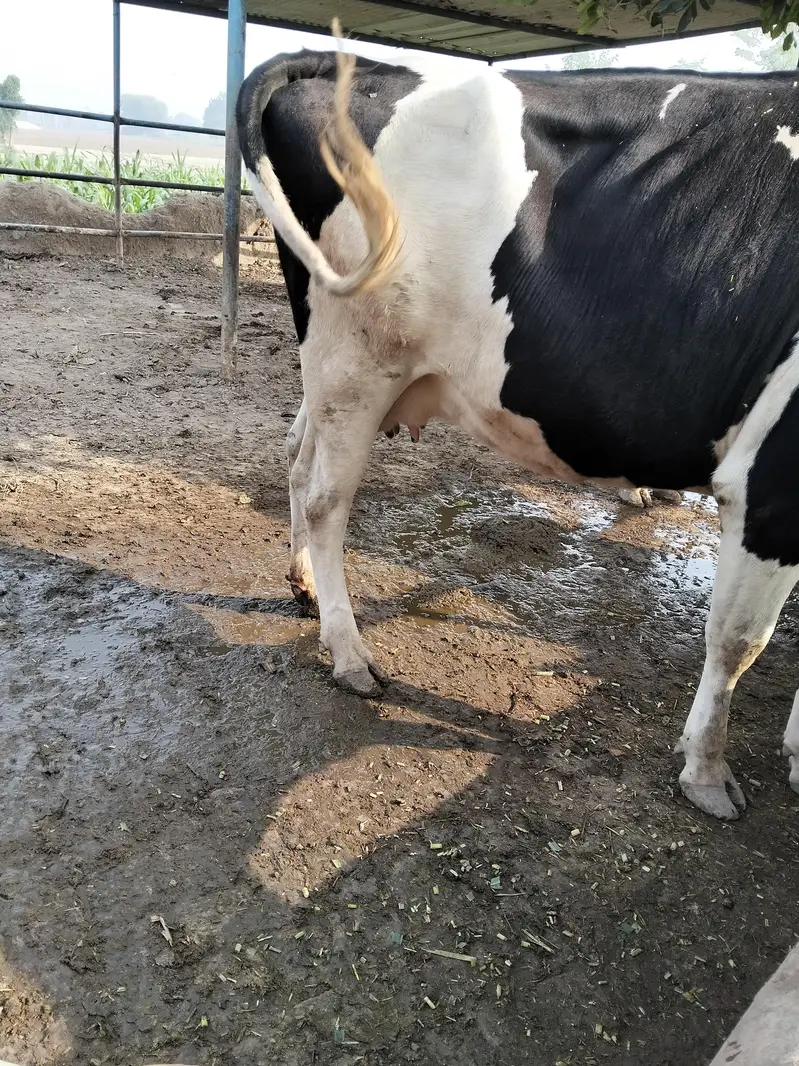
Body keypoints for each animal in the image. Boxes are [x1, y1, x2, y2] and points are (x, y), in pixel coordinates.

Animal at [236, 43, 799, 821]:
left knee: (296, 461)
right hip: (356, 357)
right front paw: (707, 773)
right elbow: (739, 640)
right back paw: (349, 654)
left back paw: (306, 592)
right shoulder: (771, 481)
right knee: (326, 501)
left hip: (334, 370)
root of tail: (352, 62)